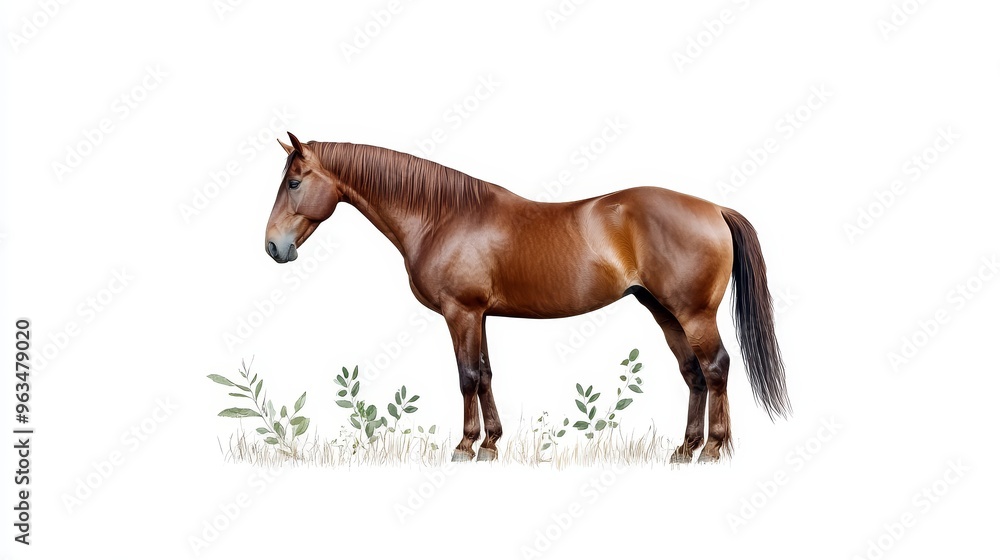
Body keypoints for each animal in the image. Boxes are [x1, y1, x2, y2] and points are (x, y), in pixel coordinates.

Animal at [264, 132, 790, 463]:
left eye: (294, 182)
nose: (273, 247)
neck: (443, 216)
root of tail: (714, 208)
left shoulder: (461, 313)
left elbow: (467, 377)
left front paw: (466, 446)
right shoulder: (479, 316)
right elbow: (485, 375)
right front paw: (491, 444)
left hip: (693, 314)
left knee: (716, 368)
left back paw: (714, 449)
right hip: (664, 312)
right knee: (693, 374)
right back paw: (685, 449)